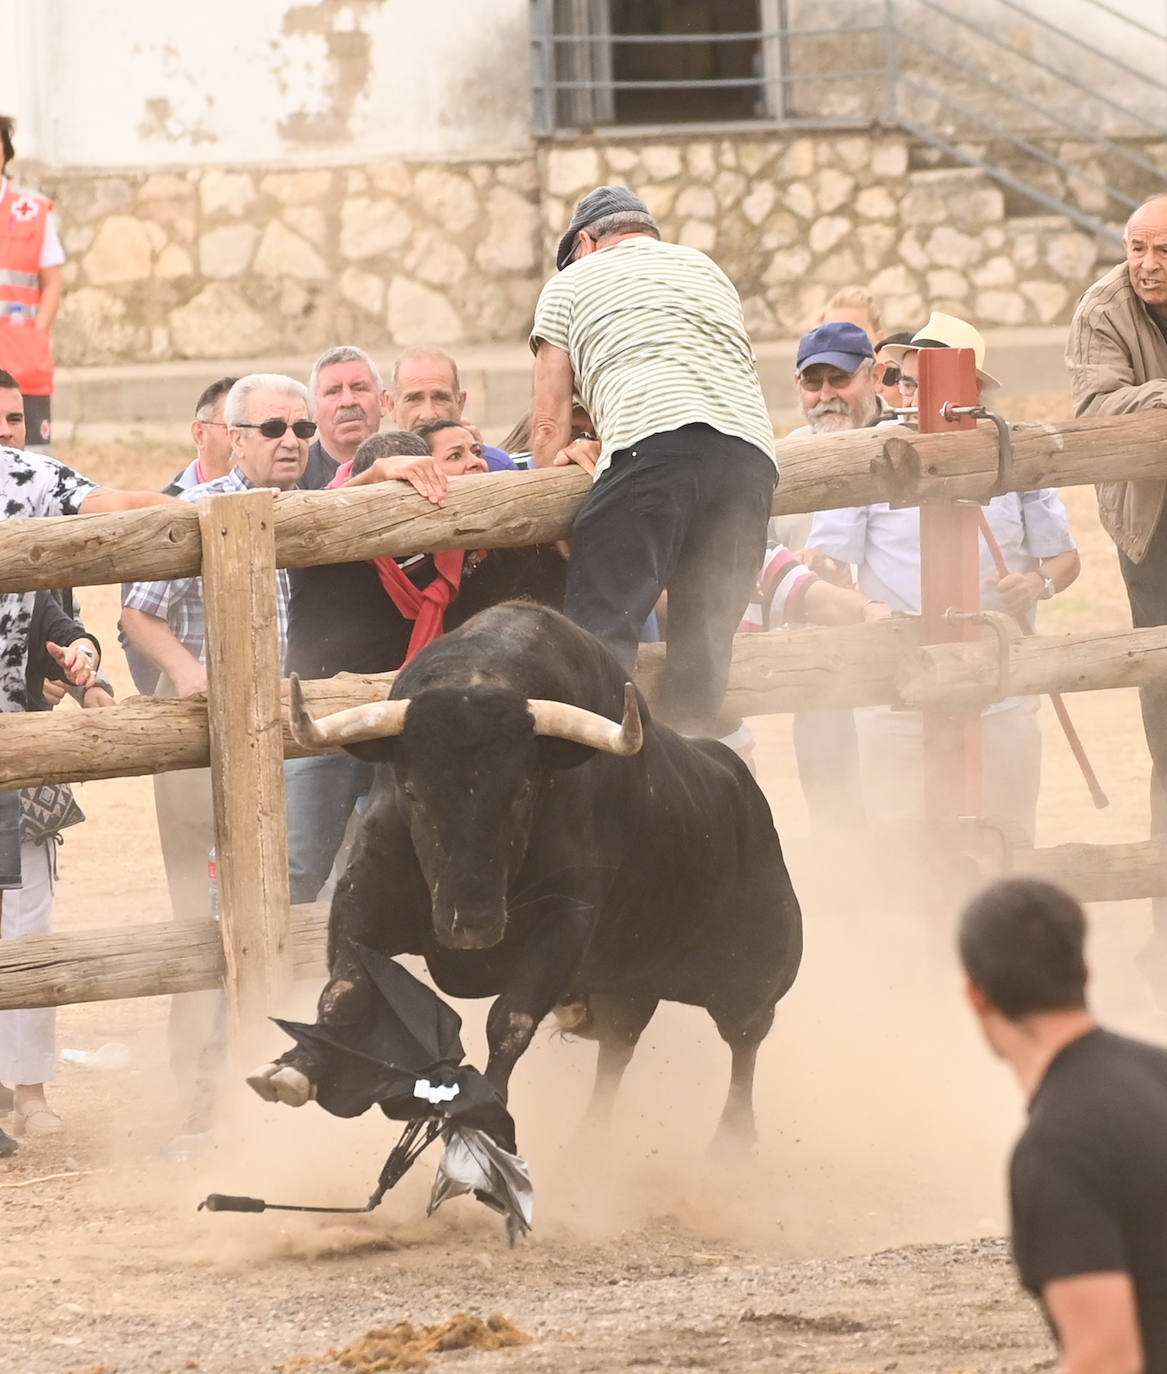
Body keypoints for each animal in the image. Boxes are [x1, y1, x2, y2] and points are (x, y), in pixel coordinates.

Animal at [251, 607, 802, 1143]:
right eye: (413, 792)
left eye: (523, 791)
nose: (470, 925)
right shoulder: (362, 892)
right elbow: (344, 987)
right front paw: (295, 1067)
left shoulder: (565, 925)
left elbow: (510, 1018)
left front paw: (482, 1112)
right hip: (632, 987)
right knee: (618, 1049)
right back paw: (589, 1140)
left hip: (755, 981)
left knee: (744, 1046)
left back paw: (733, 1142)